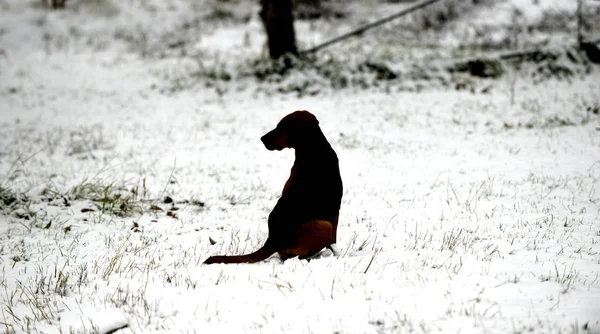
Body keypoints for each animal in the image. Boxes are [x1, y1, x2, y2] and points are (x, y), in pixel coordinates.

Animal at [204, 111, 342, 264]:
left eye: (280, 128)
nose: (262, 139)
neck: (314, 149)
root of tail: (273, 241)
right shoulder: (335, 213)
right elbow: (334, 240)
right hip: (324, 225)